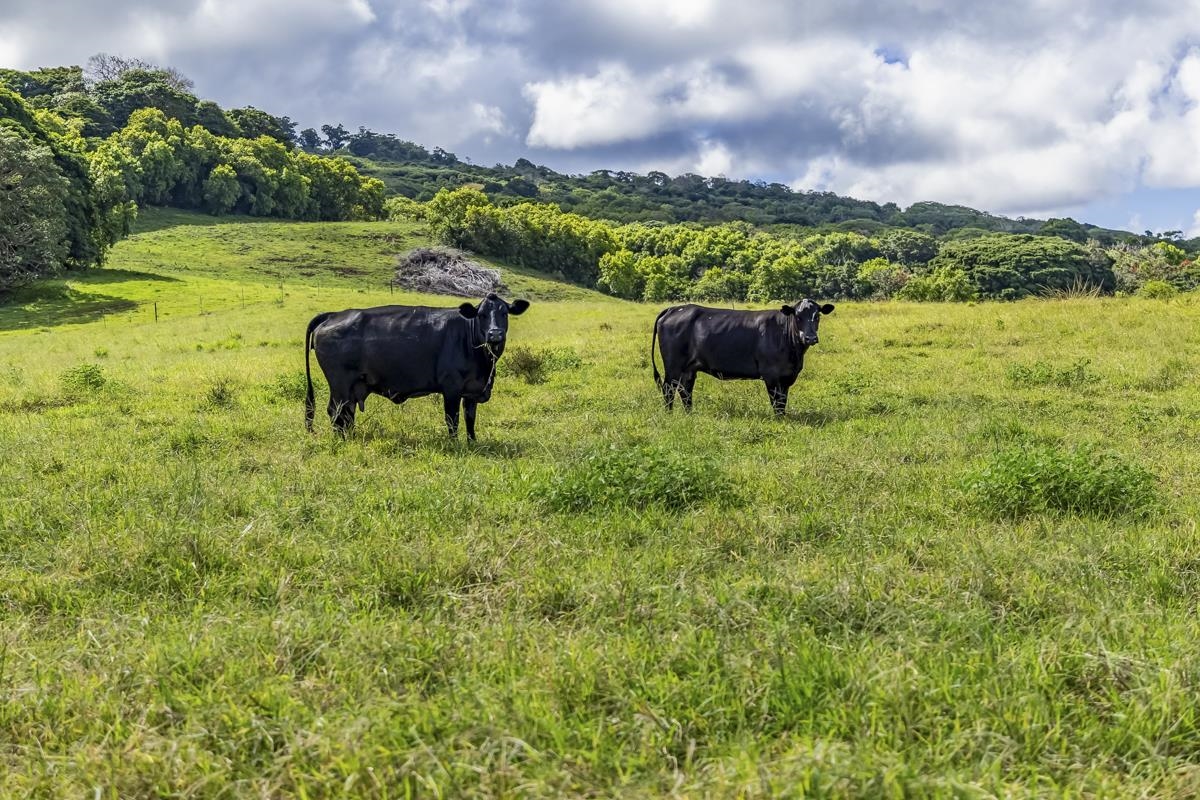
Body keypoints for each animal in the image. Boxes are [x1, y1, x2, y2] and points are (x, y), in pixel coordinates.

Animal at [309, 293, 530, 441]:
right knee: (336, 412)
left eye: (504, 313)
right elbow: (452, 418)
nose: (495, 334)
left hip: (352, 388)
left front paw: (472, 442)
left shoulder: (472, 390)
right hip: (340, 385)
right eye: (481, 314)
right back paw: (341, 440)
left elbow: (470, 418)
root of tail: (333, 315)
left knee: (347, 413)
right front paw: (454, 444)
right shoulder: (451, 387)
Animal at [657, 298, 835, 412]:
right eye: (797, 316)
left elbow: (782, 401)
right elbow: (776, 402)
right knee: (669, 388)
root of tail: (674, 309)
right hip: (673, 366)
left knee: (685, 389)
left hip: (689, 369)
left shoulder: (786, 377)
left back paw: (689, 414)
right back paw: (669, 414)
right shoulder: (771, 375)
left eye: (817, 316)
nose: (810, 337)